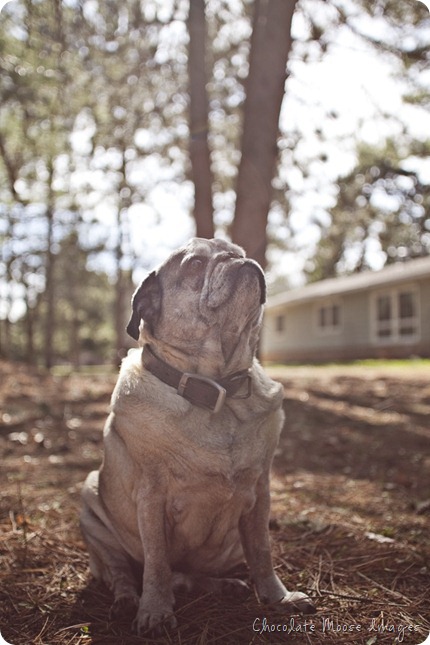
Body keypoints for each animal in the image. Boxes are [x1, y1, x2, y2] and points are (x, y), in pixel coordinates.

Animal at [80, 236, 314, 632]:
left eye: (236, 252)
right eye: (194, 266)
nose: (239, 260)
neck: (217, 389)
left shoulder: (260, 493)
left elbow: (262, 552)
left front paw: (277, 597)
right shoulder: (151, 498)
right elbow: (157, 563)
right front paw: (155, 610)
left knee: (187, 576)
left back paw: (223, 586)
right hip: (90, 504)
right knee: (124, 573)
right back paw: (127, 601)